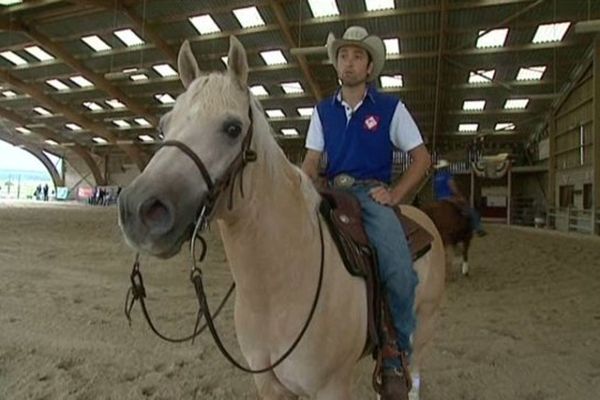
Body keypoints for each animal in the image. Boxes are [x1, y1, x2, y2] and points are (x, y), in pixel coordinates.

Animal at [118, 36, 446, 398]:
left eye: (233, 128)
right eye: (164, 126)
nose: (138, 208)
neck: (279, 285)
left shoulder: (332, 387)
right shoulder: (270, 385)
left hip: (423, 328)